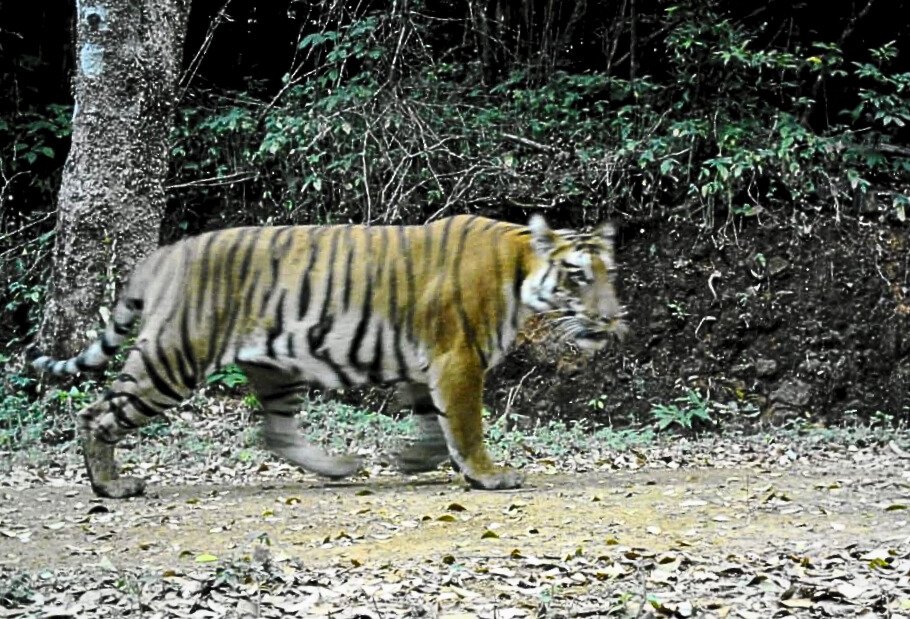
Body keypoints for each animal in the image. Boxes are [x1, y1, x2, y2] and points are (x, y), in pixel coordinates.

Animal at [30, 214, 627, 498]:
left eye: (609, 274)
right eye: (578, 276)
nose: (611, 318)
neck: (523, 272)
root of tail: (164, 254)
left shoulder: (425, 365)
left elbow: (433, 428)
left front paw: (408, 460)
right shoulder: (457, 359)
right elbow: (466, 427)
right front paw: (489, 476)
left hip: (275, 368)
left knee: (276, 432)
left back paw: (340, 466)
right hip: (173, 358)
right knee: (96, 413)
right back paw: (110, 486)